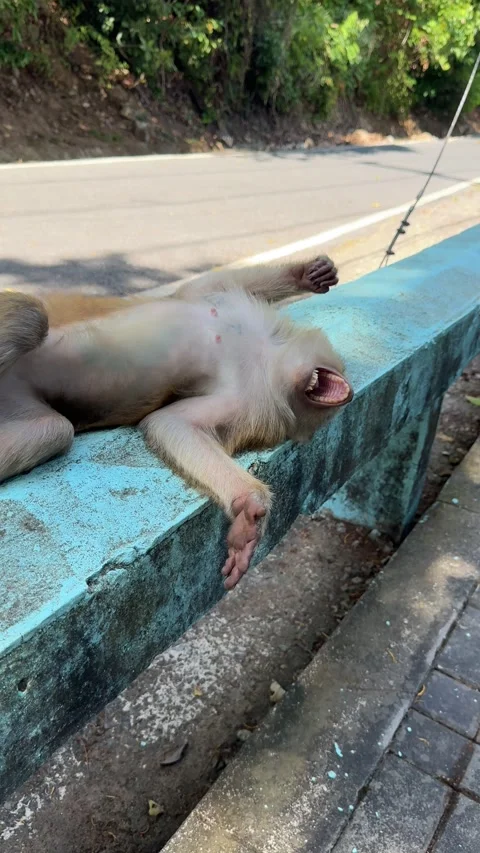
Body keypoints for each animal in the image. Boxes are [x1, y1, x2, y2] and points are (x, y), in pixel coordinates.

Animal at [0, 256, 352, 589]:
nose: (346, 395)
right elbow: (202, 287)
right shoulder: (227, 304)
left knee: (54, 430)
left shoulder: (249, 401)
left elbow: (168, 422)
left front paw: (248, 511)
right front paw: (306, 275)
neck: (264, 355)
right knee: (33, 316)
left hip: (18, 404)